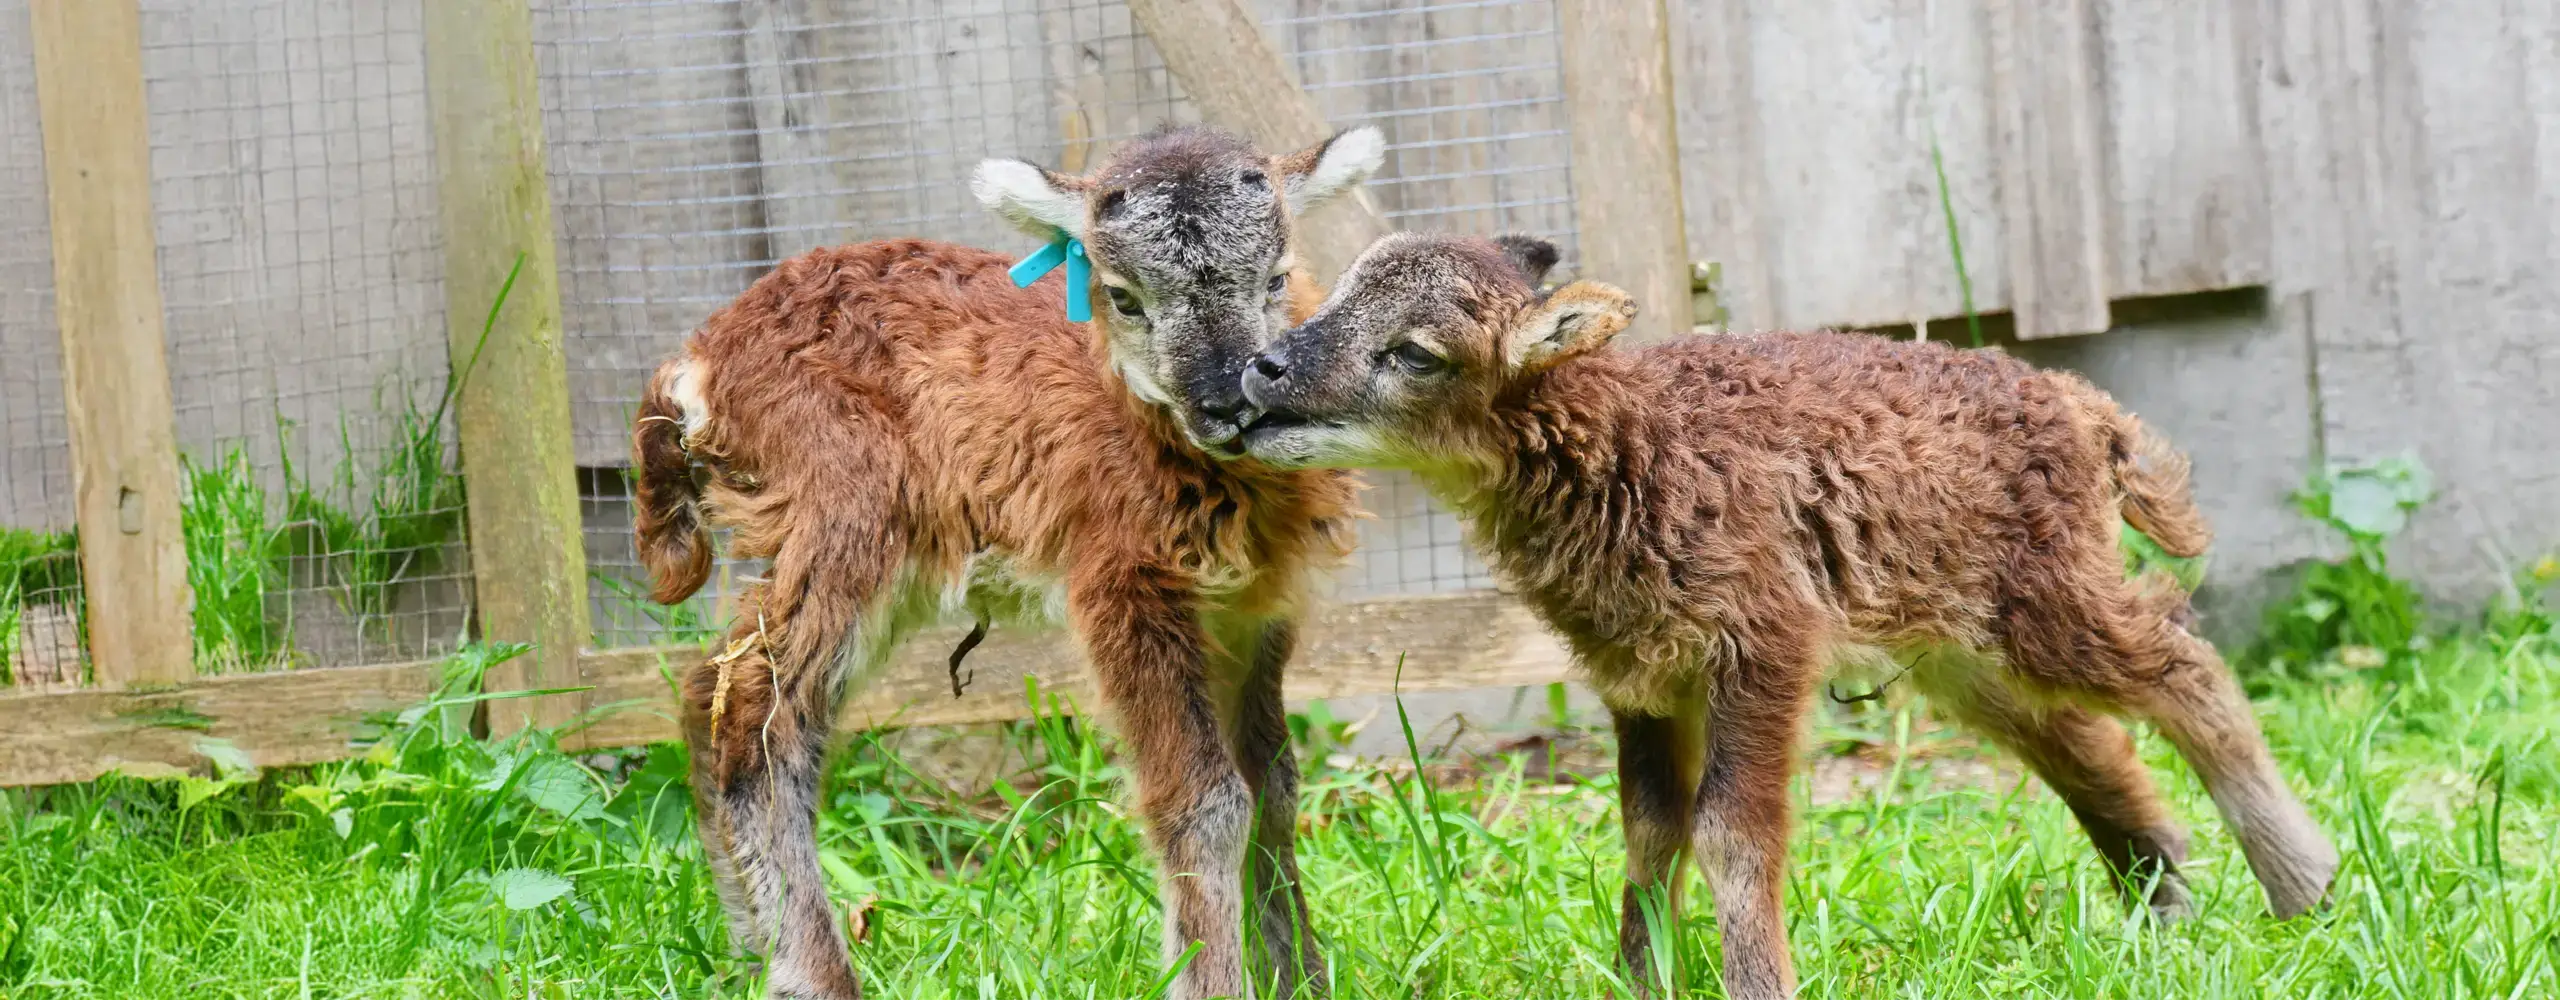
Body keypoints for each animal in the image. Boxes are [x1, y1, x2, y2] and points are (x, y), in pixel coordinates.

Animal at [631, 124, 1386, 1000]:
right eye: (1122, 296)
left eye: (1276, 277)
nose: (1227, 402)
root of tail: (701, 362)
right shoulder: (1124, 581)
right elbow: (1204, 799)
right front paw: (1210, 977)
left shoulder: (1253, 608)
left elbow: (1275, 784)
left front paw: (1302, 978)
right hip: (843, 506)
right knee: (761, 710)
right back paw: (815, 972)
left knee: (708, 684)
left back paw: (752, 950)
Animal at [1232, 232, 2339, 999]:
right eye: (1331, 293)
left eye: (1415, 353)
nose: (1263, 370)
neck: (1632, 445)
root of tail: (2080, 405)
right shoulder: (1640, 675)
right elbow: (1649, 832)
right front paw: (1640, 979)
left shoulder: (1762, 644)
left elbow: (1730, 832)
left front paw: (1753, 979)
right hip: (1957, 641)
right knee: (2085, 740)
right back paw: (2167, 910)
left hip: (2047, 599)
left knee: (2182, 662)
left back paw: (2305, 887)